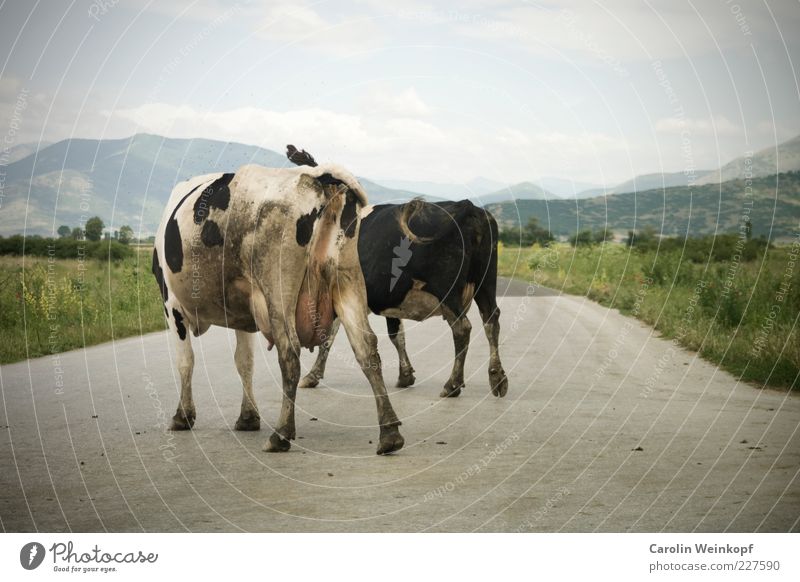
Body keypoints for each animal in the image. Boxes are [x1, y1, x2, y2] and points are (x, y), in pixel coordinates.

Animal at [152, 160, 406, 456]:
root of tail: (318, 174)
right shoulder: (242, 313)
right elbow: (244, 361)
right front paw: (248, 418)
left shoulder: (171, 305)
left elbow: (185, 361)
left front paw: (182, 416)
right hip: (348, 282)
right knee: (367, 349)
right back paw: (389, 433)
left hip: (279, 292)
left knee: (290, 354)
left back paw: (281, 434)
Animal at [288, 148, 510, 400]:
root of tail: (469, 206)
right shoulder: (389, 296)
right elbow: (397, 335)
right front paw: (405, 376)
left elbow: (329, 337)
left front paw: (312, 376)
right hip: (486, 283)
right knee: (491, 320)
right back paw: (497, 378)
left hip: (447, 290)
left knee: (462, 328)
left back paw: (452, 384)